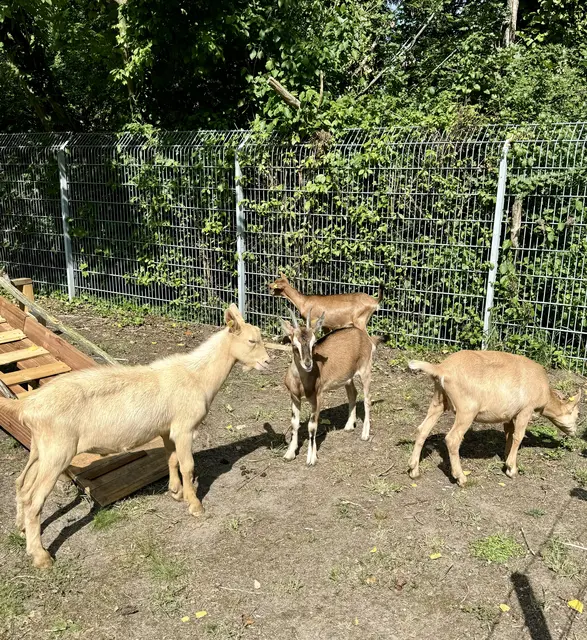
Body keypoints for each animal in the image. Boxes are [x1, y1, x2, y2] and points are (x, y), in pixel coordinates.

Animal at [0, 304, 270, 569]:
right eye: (252, 340)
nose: (268, 362)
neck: (197, 376)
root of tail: (29, 405)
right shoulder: (185, 428)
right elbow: (188, 465)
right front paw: (195, 505)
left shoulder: (167, 429)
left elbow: (171, 458)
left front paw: (175, 491)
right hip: (58, 451)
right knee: (34, 499)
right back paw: (41, 556)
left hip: (41, 448)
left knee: (22, 484)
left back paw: (22, 529)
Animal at [281, 308, 377, 465]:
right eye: (294, 345)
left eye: (314, 344)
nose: (308, 364)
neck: (301, 382)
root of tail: (362, 335)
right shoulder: (294, 396)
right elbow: (294, 423)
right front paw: (289, 453)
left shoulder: (318, 397)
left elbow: (312, 426)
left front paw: (311, 458)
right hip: (347, 377)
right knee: (353, 393)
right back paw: (349, 426)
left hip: (365, 370)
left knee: (367, 399)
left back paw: (365, 434)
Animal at [407, 350, 581, 486]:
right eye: (578, 414)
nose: (575, 433)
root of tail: (442, 369)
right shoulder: (526, 410)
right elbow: (518, 436)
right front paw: (512, 469)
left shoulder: (510, 415)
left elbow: (509, 434)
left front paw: (506, 459)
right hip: (467, 410)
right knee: (452, 438)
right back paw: (461, 477)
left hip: (438, 400)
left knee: (423, 429)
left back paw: (414, 470)